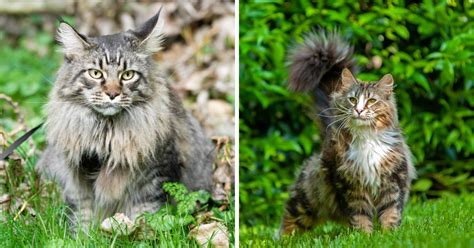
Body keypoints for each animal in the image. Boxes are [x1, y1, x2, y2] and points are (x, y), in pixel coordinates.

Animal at [36, 9, 214, 231]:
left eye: (128, 75)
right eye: (95, 73)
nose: (112, 94)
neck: (106, 133)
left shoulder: (155, 176)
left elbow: (146, 217)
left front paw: (140, 234)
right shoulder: (78, 180)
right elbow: (82, 217)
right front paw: (82, 235)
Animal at [282, 31, 414, 234]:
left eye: (371, 101)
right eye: (352, 100)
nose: (358, 110)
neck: (367, 140)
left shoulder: (393, 180)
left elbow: (391, 212)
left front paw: (388, 234)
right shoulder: (351, 186)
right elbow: (360, 215)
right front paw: (365, 236)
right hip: (308, 197)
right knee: (291, 218)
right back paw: (285, 238)